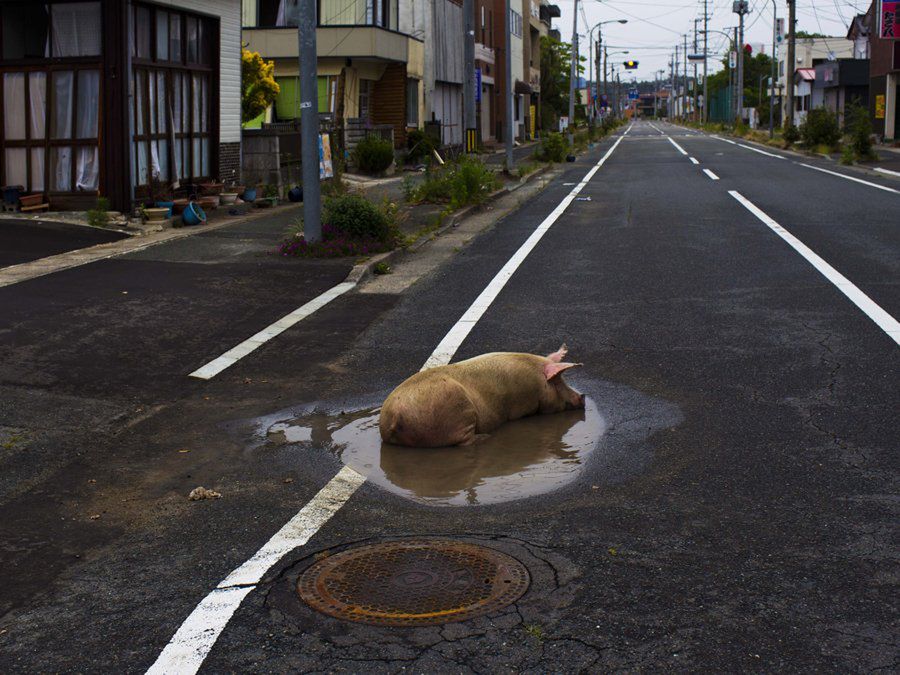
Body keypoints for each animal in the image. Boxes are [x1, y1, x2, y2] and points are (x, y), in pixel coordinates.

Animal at [378, 344, 584, 448]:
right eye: (558, 381)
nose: (582, 396)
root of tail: (393, 416)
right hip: (458, 413)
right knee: (463, 442)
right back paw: (486, 438)